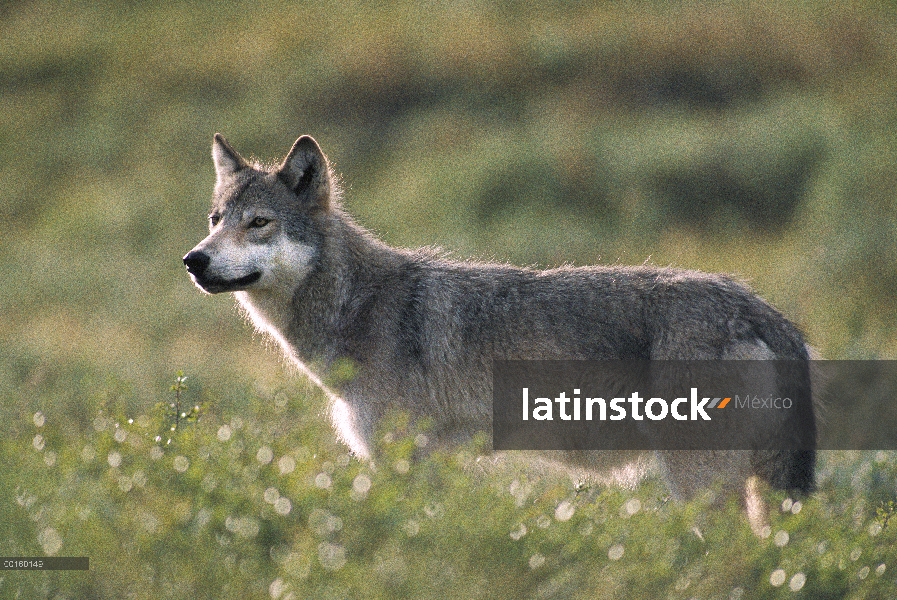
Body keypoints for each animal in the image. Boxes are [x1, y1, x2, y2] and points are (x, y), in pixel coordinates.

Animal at [182, 135, 812, 528]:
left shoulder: (407, 464)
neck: (358, 306)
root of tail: (761, 310)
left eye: (258, 223)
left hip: (699, 487)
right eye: (216, 221)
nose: (193, 261)